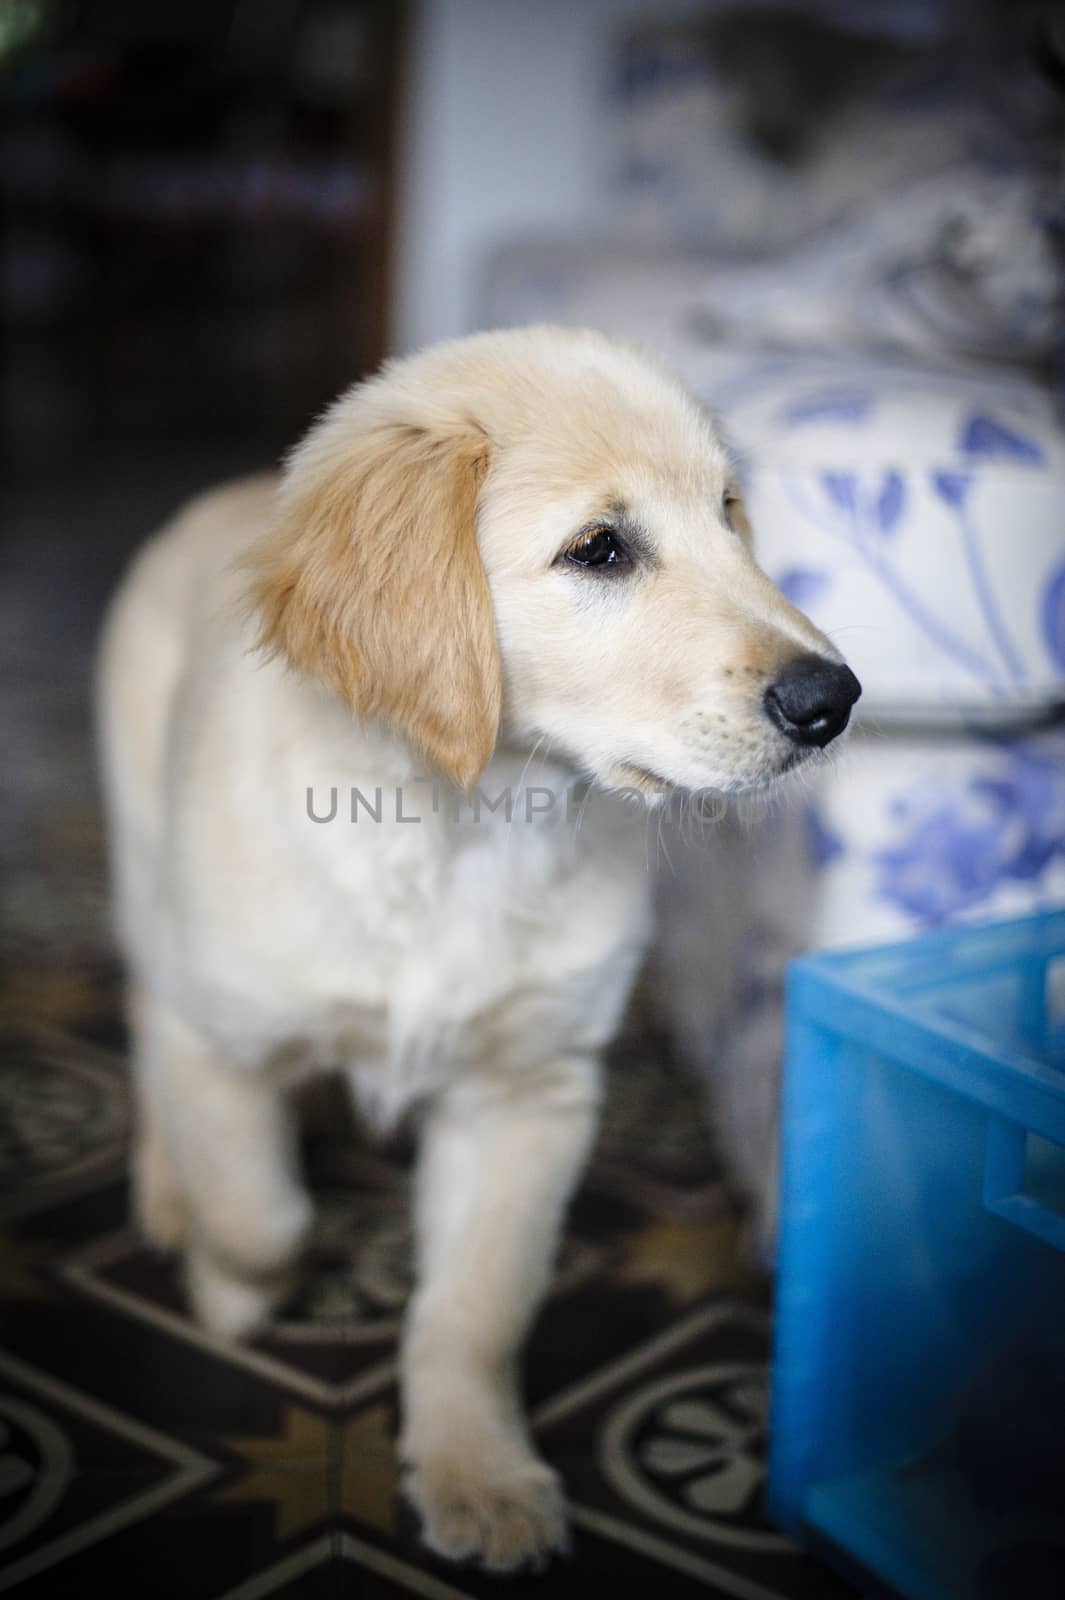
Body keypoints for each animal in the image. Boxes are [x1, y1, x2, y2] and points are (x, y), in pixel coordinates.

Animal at [95, 321, 857, 1561]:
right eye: (600, 550)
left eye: (729, 510)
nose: (835, 701)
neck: (468, 826)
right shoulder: (233, 1031)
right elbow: (263, 1210)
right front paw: (230, 1291)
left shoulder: (531, 1091)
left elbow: (477, 1308)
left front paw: (478, 1473)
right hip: (142, 850)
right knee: (150, 1006)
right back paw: (168, 1188)